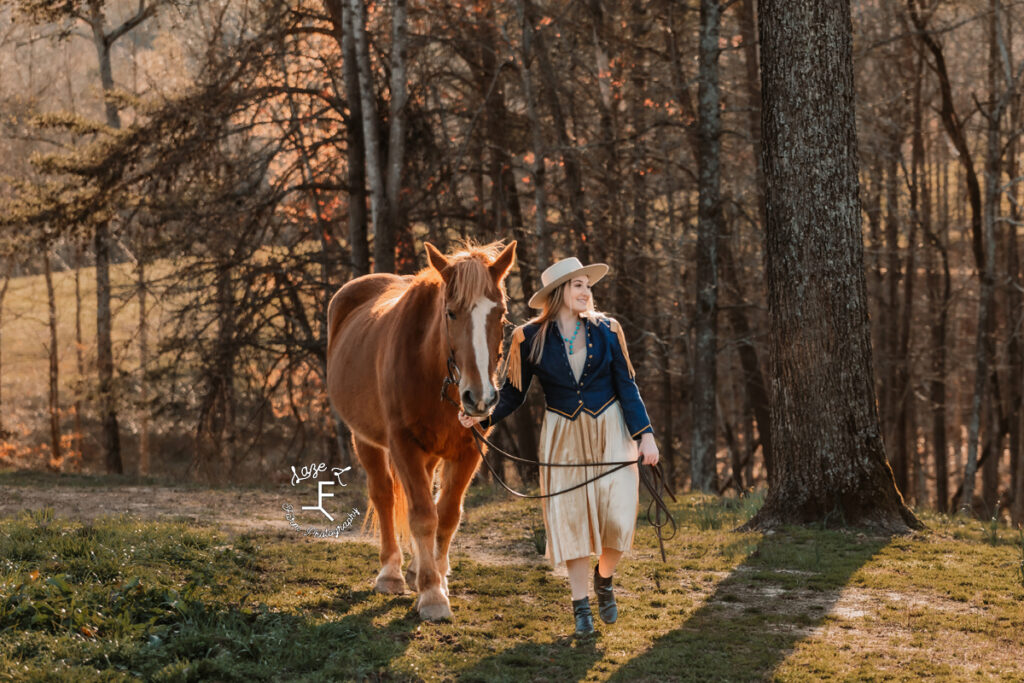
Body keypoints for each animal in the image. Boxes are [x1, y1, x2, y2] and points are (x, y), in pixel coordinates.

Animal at [327, 240, 516, 618]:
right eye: (451, 313)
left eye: (500, 315)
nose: (480, 398)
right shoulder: (403, 445)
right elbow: (422, 516)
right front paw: (432, 595)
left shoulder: (468, 450)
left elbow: (447, 515)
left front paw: (436, 578)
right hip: (365, 439)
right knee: (384, 495)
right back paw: (392, 573)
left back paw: (416, 567)